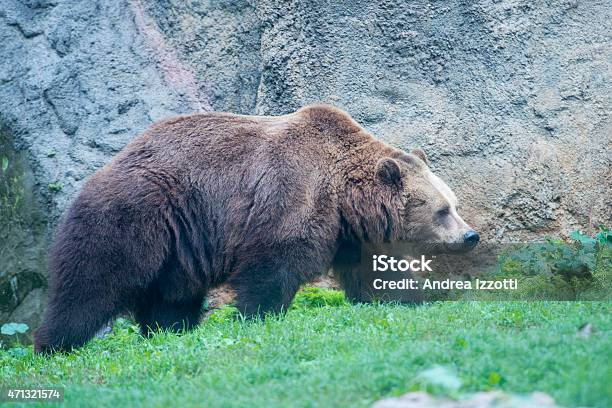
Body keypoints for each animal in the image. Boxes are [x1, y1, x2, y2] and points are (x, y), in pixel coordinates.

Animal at [33, 103, 478, 352]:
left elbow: (377, 275)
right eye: (442, 209)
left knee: (170, 299)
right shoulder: (291, 194)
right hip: (137, 216)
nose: (470, 235)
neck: (345, 197)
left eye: (453, 203)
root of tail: (100, 172)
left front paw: (408, 301)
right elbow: (272, 266)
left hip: (178, 249)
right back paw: (54, 344)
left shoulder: (354, 234)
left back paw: (168, 332)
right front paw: (257, 316)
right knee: (90, 285)